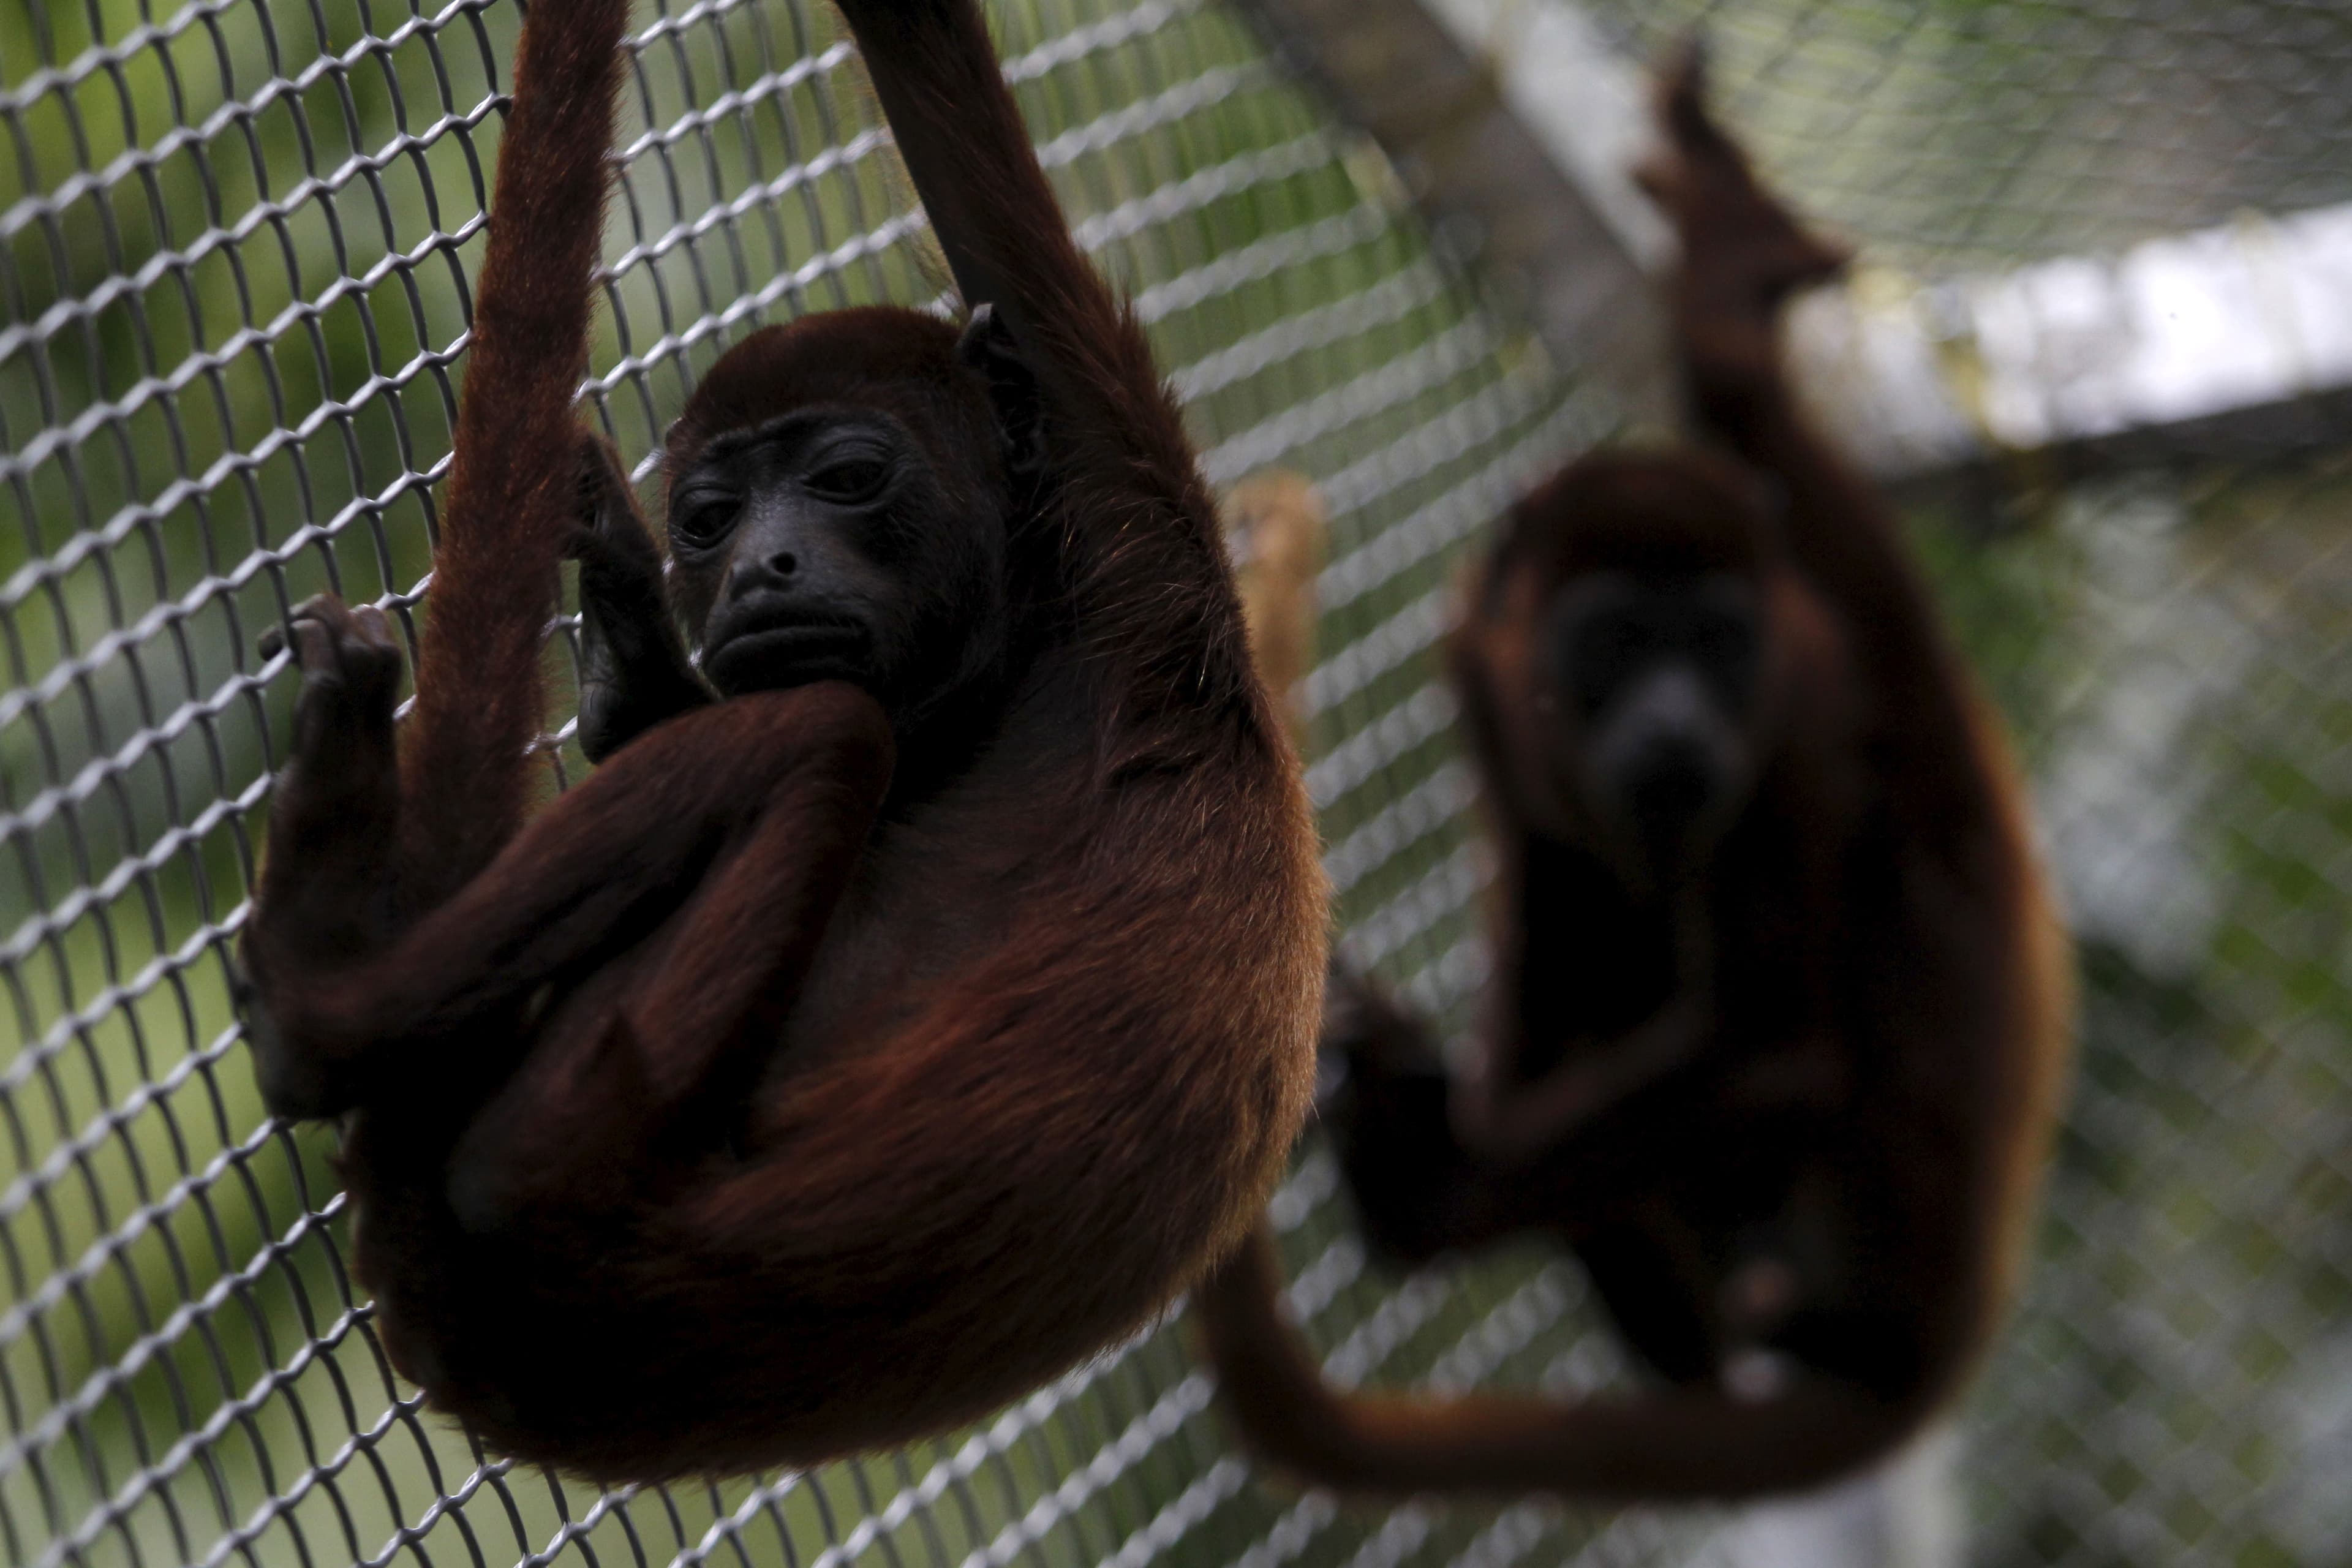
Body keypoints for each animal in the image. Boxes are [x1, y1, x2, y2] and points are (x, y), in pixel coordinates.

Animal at [236, 0, 1324, 1482]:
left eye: (848, 480)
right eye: (710, 520)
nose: (761, 567)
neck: (1024, 656)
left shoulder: (1134, 518)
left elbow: (948, 106)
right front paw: (634, 646)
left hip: (566, 1141)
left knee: (822, 735)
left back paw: (318, 988)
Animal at [1191, 42, 2073, 1502]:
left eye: (1715, 647)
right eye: (1611, 643)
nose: (1676, 724)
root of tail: (1944, 1335)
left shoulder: (1794, 715)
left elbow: (1774, 1051)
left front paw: (1427, 1190)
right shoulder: (1479, 674)